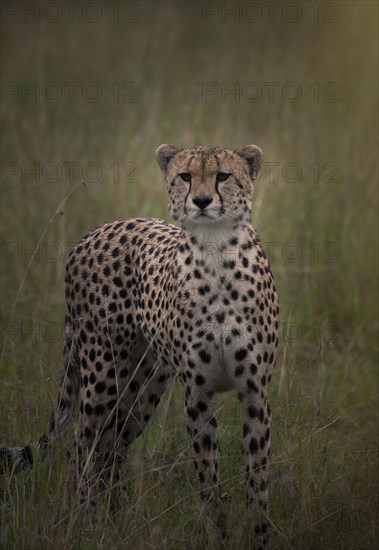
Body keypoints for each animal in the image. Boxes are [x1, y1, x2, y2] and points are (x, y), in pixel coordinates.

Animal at [0, 144, 280, 548]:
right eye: (185, 176)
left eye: (223, 175)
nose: (201, 200)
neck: (215, 250)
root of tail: (97, 229)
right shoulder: (197, 397)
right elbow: (208, 480)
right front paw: (220, 536)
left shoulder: (255, 393)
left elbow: (257, 478)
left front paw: (259, 536)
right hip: (103, 374)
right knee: (82, 446)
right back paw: (86, 522)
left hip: (143, 385)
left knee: (113, 445)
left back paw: (118, 518)